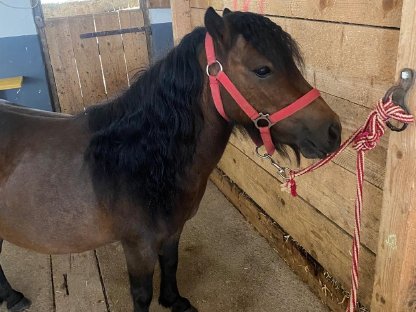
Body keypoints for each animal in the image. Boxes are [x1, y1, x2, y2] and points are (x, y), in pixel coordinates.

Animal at [0, 7, 340, 312]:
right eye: (262, 69)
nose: (333, 130)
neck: (140, 157)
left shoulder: (173, 230)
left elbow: (171, 263)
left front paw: (174, 301)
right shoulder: (138, 247)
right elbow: (141, 295)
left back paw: (13, 297)